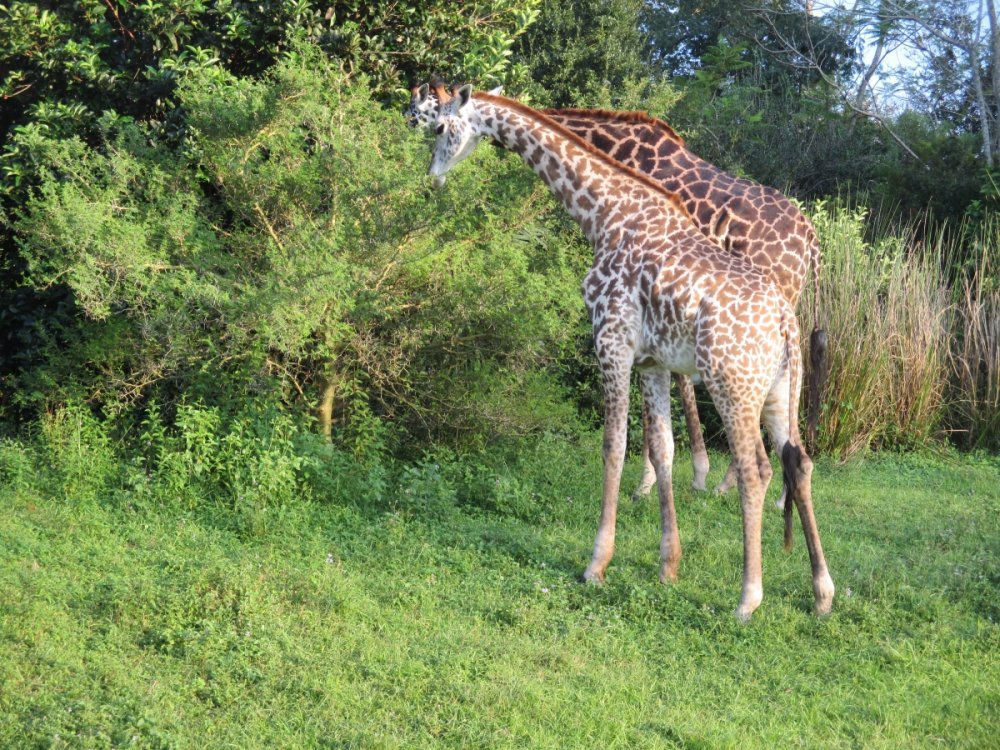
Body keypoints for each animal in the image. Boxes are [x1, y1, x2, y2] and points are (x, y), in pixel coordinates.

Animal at [427, 85, 834, 621]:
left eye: (437, 125)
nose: (432, 176)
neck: (604, 215)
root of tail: (787, 320)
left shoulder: (611, 342)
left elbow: (613, 446)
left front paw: (596, 565)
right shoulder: (652, 362)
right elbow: (663, 450)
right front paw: (668, 566)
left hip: (732, 382)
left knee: (756, 470)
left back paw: (748, 598)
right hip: (780, 388)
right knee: (799, 462)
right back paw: (822, 592)